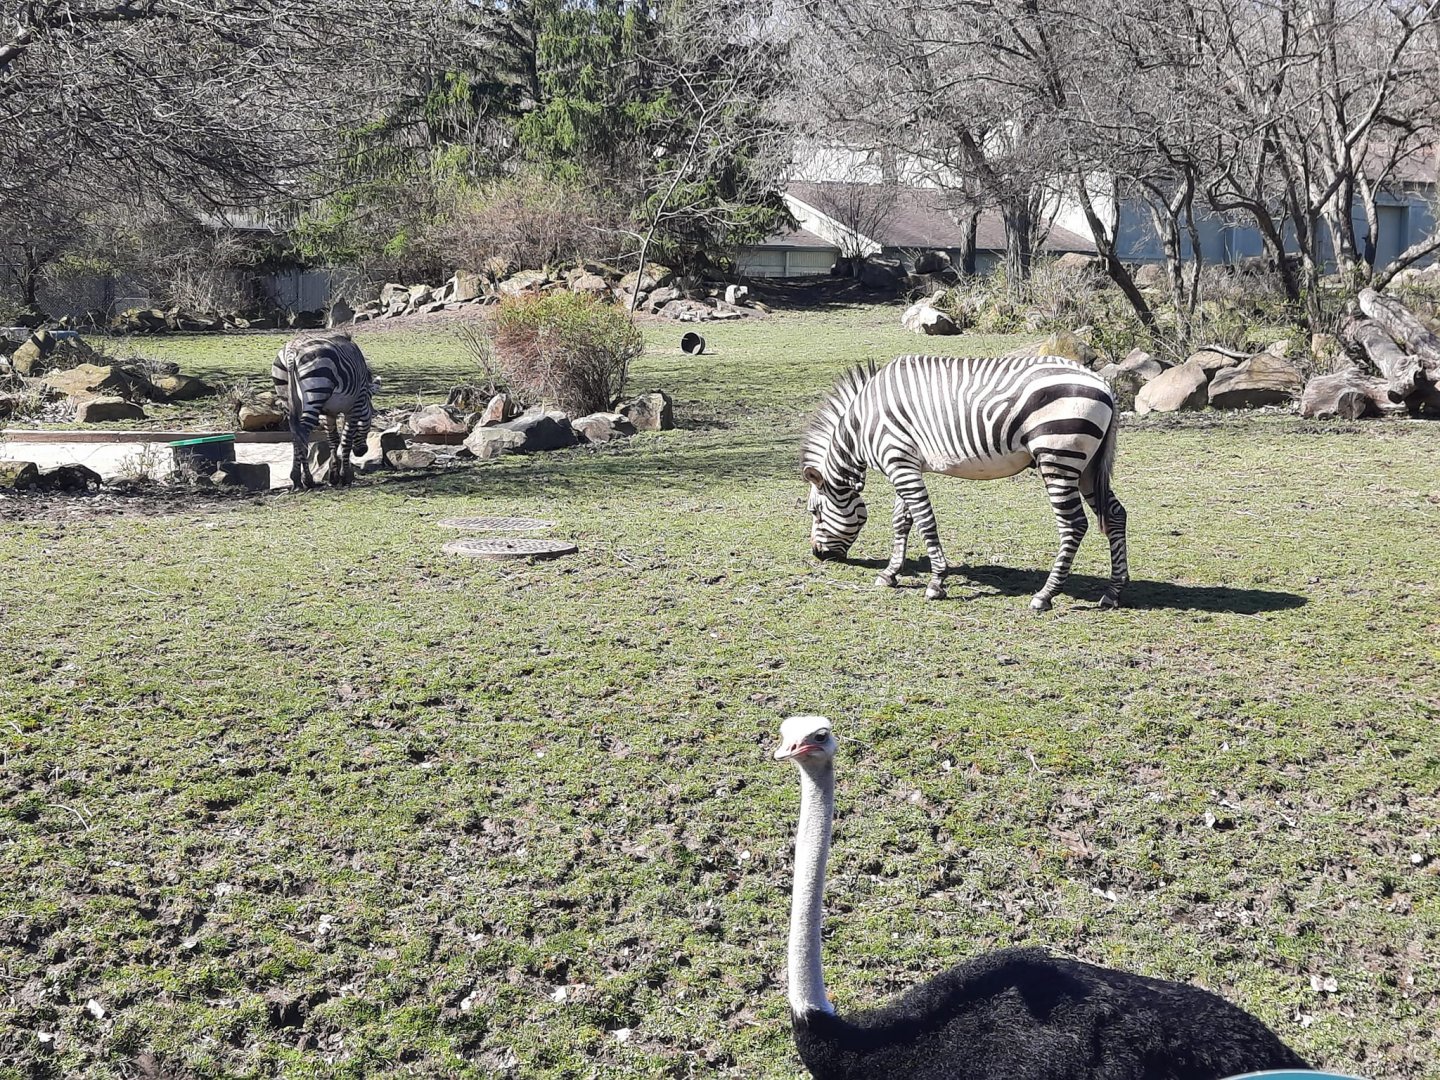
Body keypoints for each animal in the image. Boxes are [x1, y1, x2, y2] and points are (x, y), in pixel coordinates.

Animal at [271, 331, 377, 490]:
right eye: (370, 419)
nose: (361, 452)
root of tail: (292, 350)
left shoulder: (328, 412)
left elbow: (333, 440)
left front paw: (333, 477)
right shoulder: (355, 406)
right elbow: (346, 439)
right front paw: (346, 476)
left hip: (286, 395)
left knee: (296, 435)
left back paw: (298, 479)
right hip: (316, 389)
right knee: (303, 432)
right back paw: (306, 479)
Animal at [803, 354, 1129, 611]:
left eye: (814, 512)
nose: (818, 555)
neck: (860, 425)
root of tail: (1103, 384)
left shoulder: (899, 462)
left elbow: (924, 521)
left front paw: (936, 582)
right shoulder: (905, 464)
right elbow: (902, 521)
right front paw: (890, 573)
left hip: (1058, 457)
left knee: (1074, 525)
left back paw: (1045, 595)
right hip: (1087, 466)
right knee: (1115, 514)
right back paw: (1113, 591)